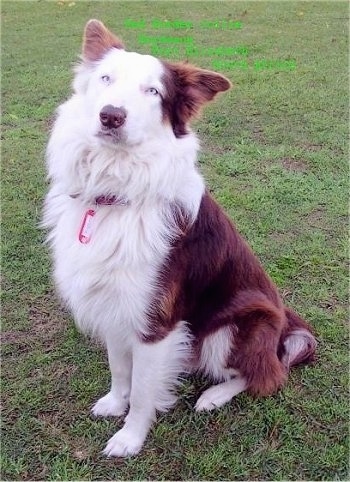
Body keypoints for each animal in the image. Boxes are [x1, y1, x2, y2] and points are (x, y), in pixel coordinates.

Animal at [42, 18, 316, 456]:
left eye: (153, 91)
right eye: (105, 79)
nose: (111, 116)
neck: (116, 192)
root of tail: (284, 320)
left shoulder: (158, 320)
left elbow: (142, 393)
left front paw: (130, 438)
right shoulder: (116, 303)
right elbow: (120, 368)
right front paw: (114, 403)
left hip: (237, 326)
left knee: (267, 374)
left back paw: (214, 396)